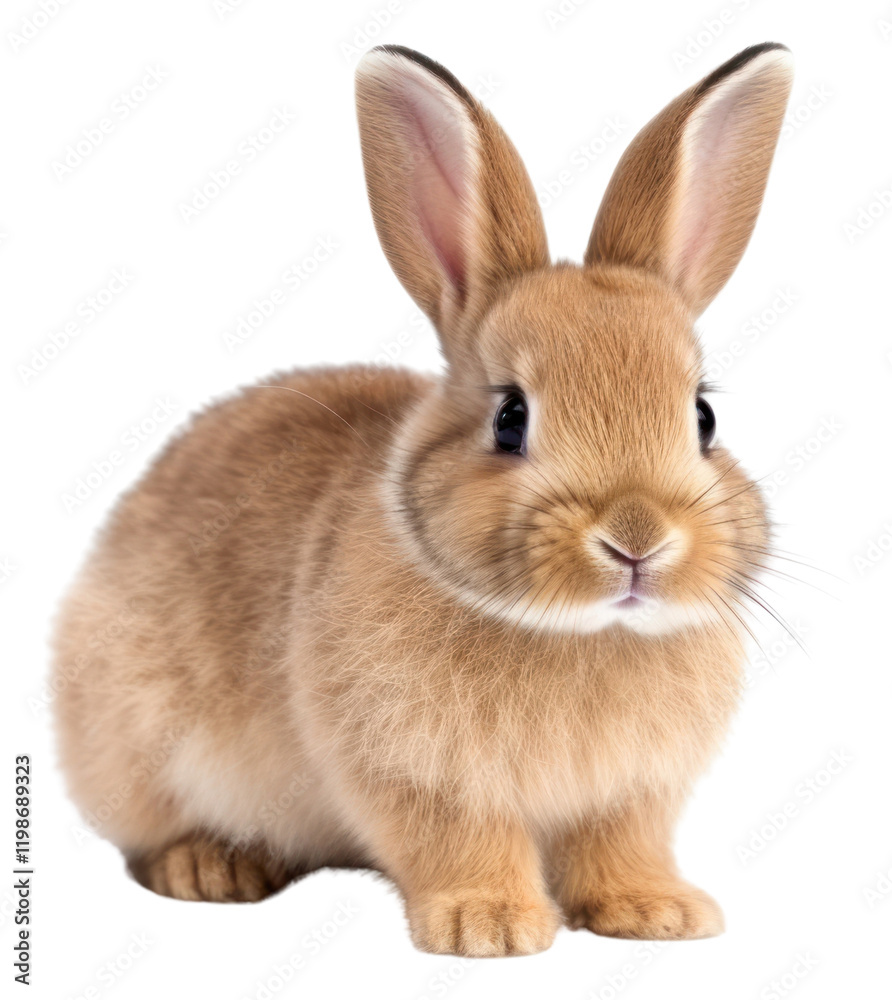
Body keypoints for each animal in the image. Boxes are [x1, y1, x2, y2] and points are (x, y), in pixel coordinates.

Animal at [52, 42, 793, 957]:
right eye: (510, 418)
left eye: (703, 417)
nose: (636, 538)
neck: (580, 632)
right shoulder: (417, 775)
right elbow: (458, 840)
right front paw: (491, 926)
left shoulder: (630, 795)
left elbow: (621, 846)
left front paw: (658, 914)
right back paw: (210, 868)